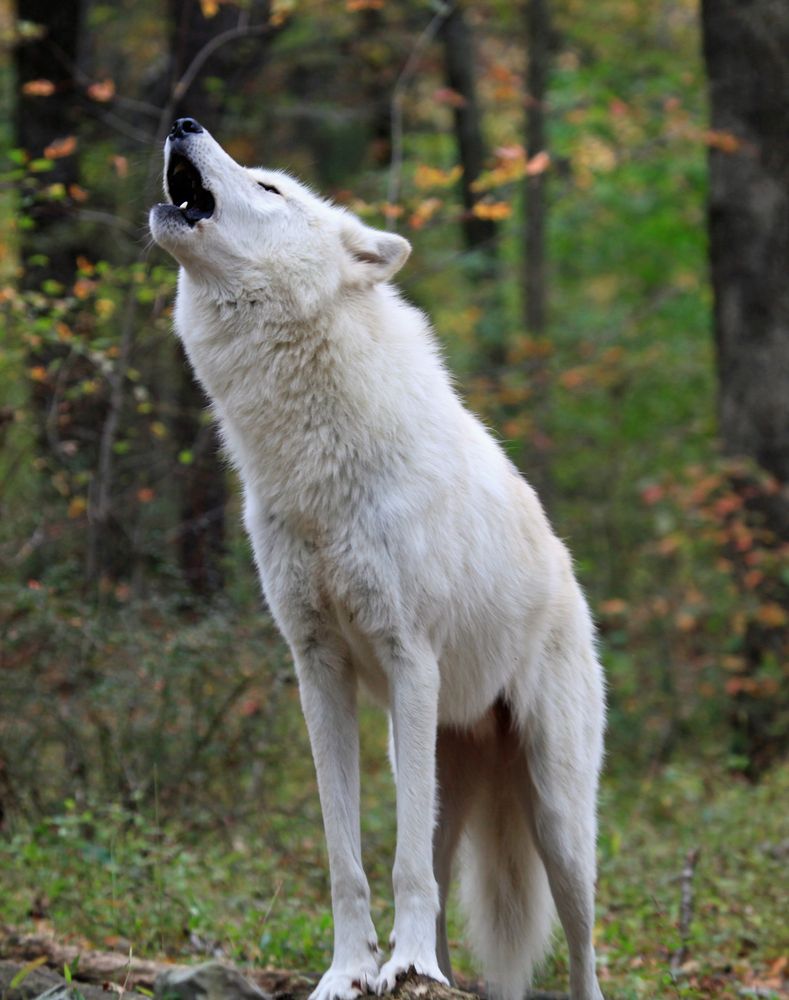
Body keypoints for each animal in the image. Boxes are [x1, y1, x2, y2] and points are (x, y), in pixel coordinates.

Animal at [150, 117, 606, 1000]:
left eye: (269, 187)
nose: (183, 124)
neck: (305, 461)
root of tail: (572, 579)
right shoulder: (316, 666)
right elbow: (347, 859)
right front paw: (350, 971)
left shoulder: (408, 656)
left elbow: (401, 867)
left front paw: (404, 964)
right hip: (431, 758)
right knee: (441, 876)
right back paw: (434, 971)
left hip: (556, 817)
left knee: (576, 942)